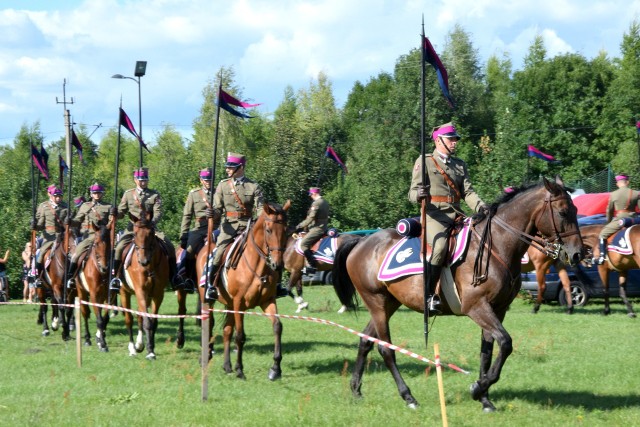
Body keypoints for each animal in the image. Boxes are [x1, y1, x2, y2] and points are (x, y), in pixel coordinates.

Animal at [76, 224, 112, 352]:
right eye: (96, 243)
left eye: (109, 243)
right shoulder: (93, 295)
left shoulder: (107, 295)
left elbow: (104, 318)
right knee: (85, 313)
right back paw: (87, 339)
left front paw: (101, 340)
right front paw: (103, 344)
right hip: (81, 292)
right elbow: (99, 319)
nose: (105, 267)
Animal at [117, 211, 168, 362]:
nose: (143, 261)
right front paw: (150, 352)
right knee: (129, 319)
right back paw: (132, 349)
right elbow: (146, 322)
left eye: (151, 233)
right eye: (135, 233)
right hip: (125, 293)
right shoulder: (141, 291)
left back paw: (139, 345)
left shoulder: (158, 294)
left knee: (139, 316)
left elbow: (153, 322)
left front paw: (150, 349)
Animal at [210, 201, 290, 382]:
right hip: (210, 301)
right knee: (209, 325)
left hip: (229, 304)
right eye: (268, 230)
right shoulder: (239, 303)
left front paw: (275, 369)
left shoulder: (267, 301)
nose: (278, 265)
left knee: (226, 331)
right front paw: (240, 369)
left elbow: (278, 327)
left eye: (286, 230)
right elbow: (240, 336)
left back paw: (227, 366)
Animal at [332, 177, 584, 412]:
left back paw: (356, 389)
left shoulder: (497, 309)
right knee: (385, 349)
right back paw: (408, 397)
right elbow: (505, 343)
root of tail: (361, 241)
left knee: (365, 340)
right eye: (563, 212)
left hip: (388, 304)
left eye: (576, 210)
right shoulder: (477, 307)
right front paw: (478, 388)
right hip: (377, 303)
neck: (496, 245)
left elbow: (487, 351)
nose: (578, 253)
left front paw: (484, 398)